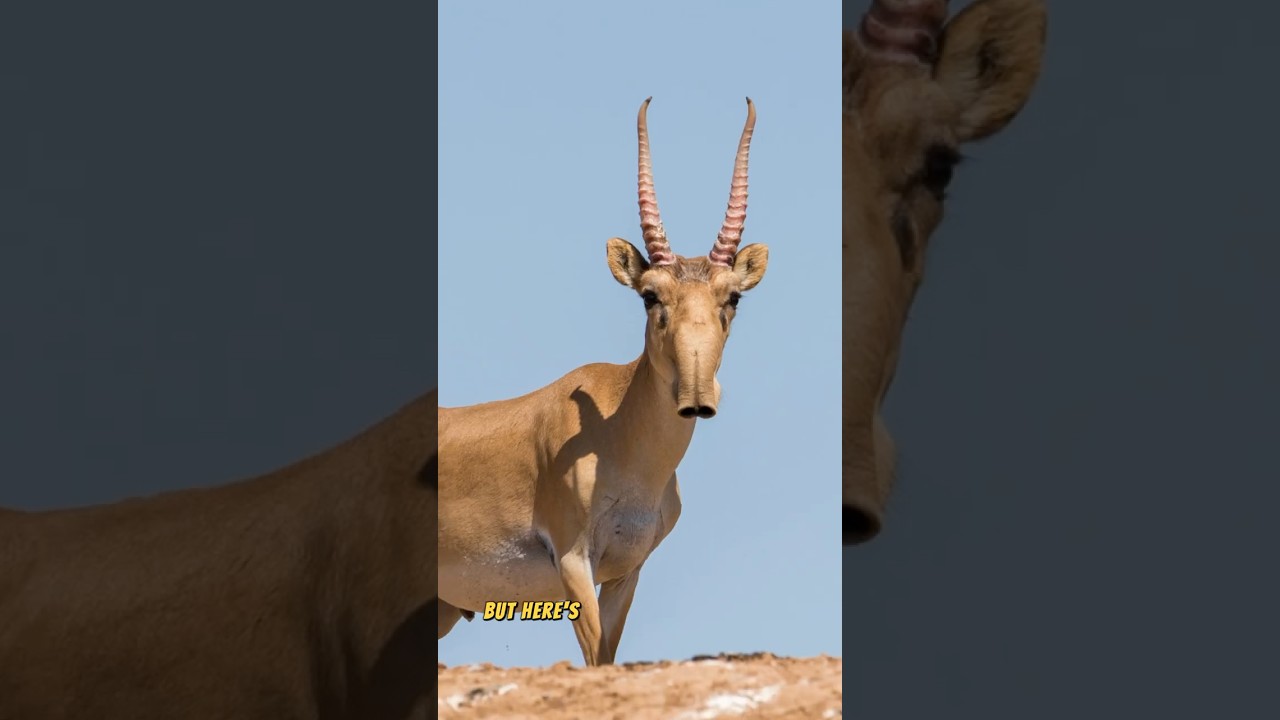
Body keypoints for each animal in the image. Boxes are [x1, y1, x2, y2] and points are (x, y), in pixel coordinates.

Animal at [437, 97, 768, 667]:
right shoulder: (574, 561)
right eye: (649, 295)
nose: (698, 398)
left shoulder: (625, 572)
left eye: (733, 297)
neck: (618, 439)